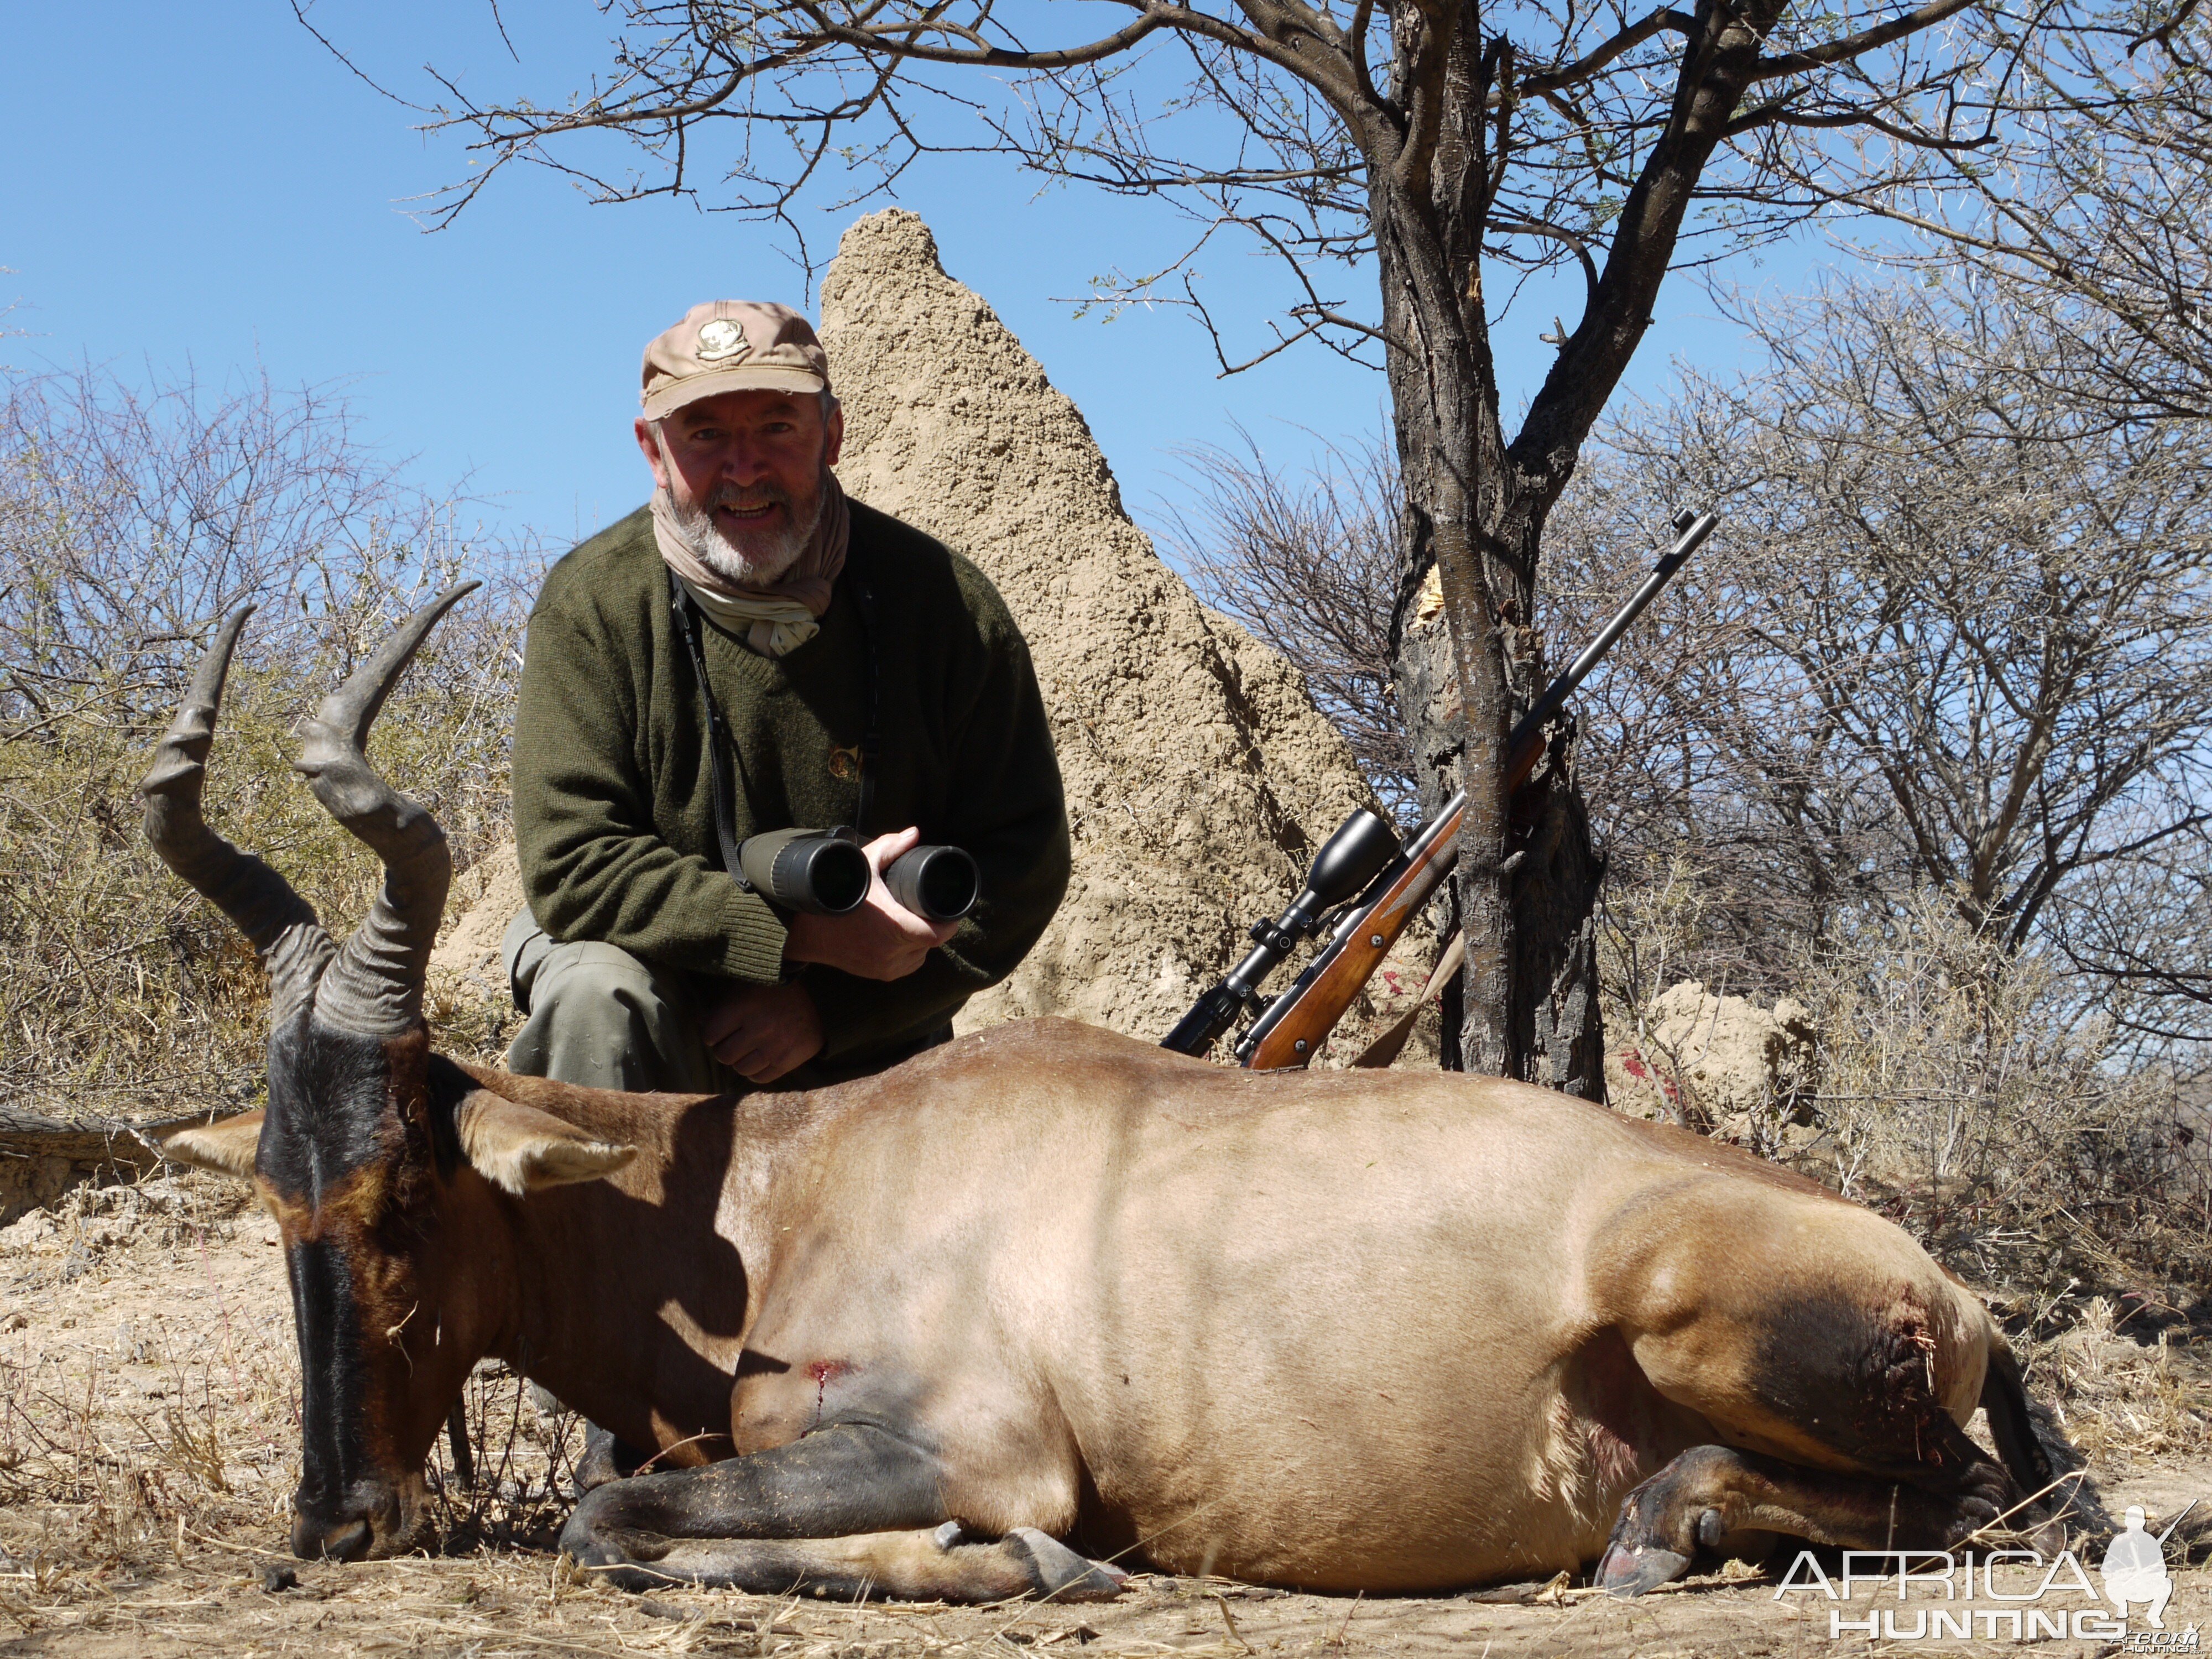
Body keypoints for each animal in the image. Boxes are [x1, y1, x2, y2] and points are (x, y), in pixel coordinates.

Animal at [152, 593, 2088, 1601]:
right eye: (278, 1196)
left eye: (407, 1191)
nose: (333, 1522)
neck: (803, 1181)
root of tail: (1947, 1286)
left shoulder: (981, 1438)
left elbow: (614, 1517)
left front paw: (1032, 1569)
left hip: (1711, 1328)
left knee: (2017, 1512)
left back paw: (1661, 1529)